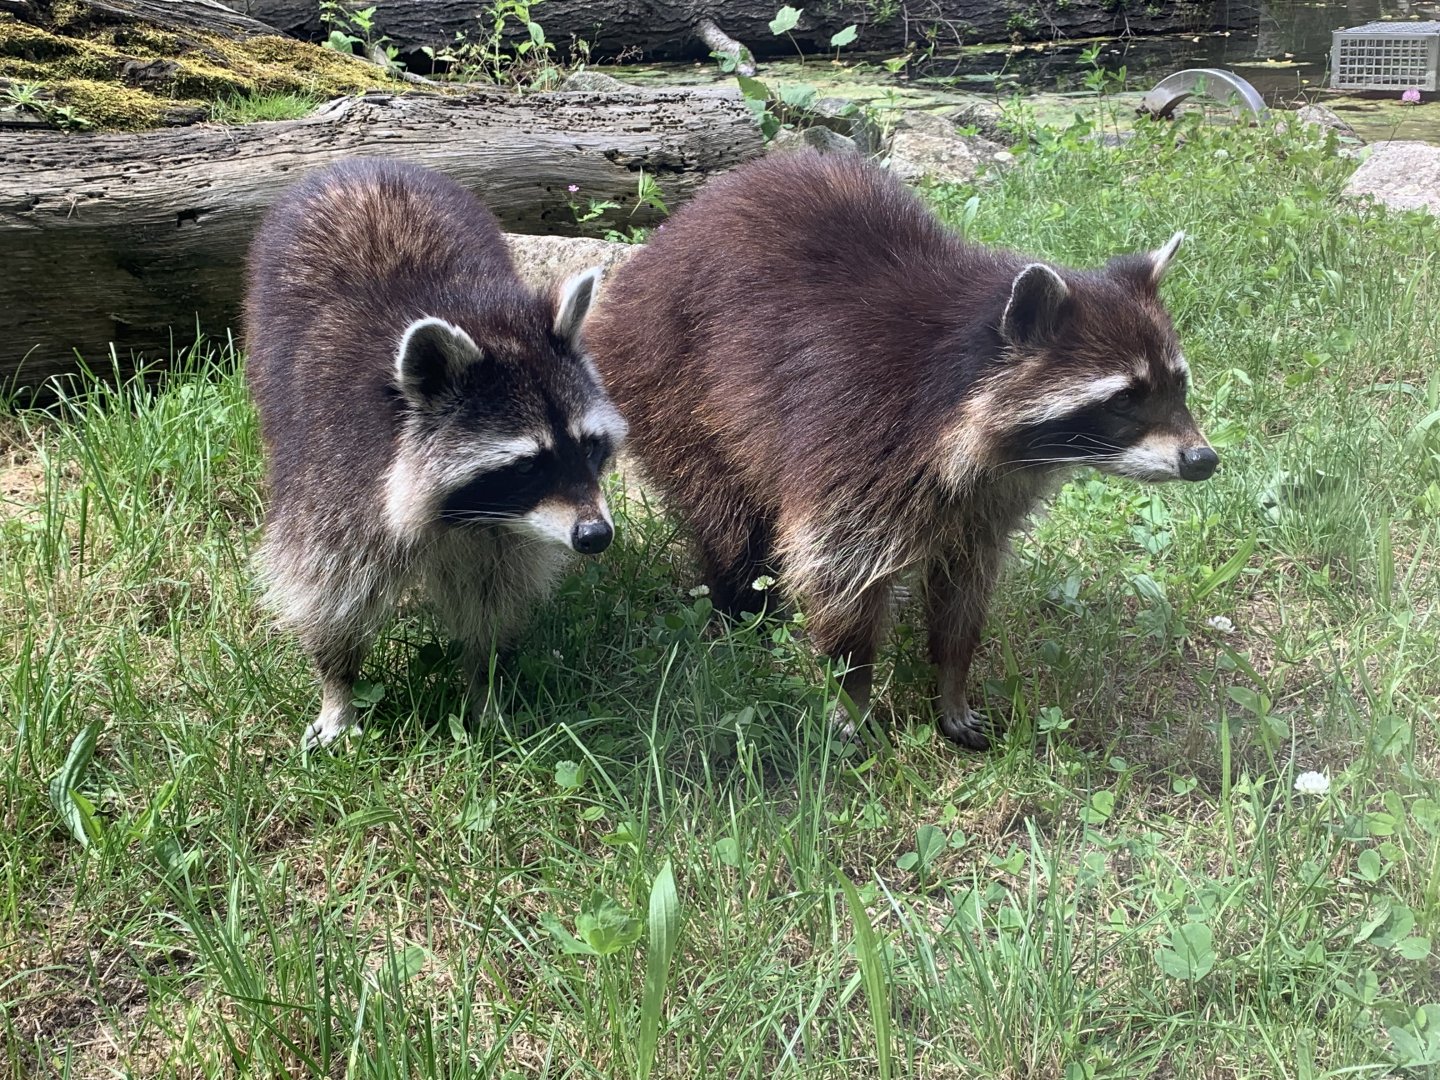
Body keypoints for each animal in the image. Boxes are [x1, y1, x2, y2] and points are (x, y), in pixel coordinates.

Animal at [244, 158, 626, 749]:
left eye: (589, 448)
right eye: (528, 465)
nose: (595, 536)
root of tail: (364, 163)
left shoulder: (507, 532)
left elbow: (493, 596)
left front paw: (487, 682)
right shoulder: (336, 468)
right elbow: (326, 587)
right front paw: (337, 687)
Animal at [586, 150, 1216, 750]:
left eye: (1178, 386)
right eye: (1126, 398)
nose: (1203, 461)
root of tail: (666, 237)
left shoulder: (986, 500)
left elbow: (964, 588)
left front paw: (952, 682)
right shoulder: (857, 440)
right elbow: (838, 575)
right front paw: (853, 691)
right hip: (663, 382)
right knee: (727, 518)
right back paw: (741, 606)